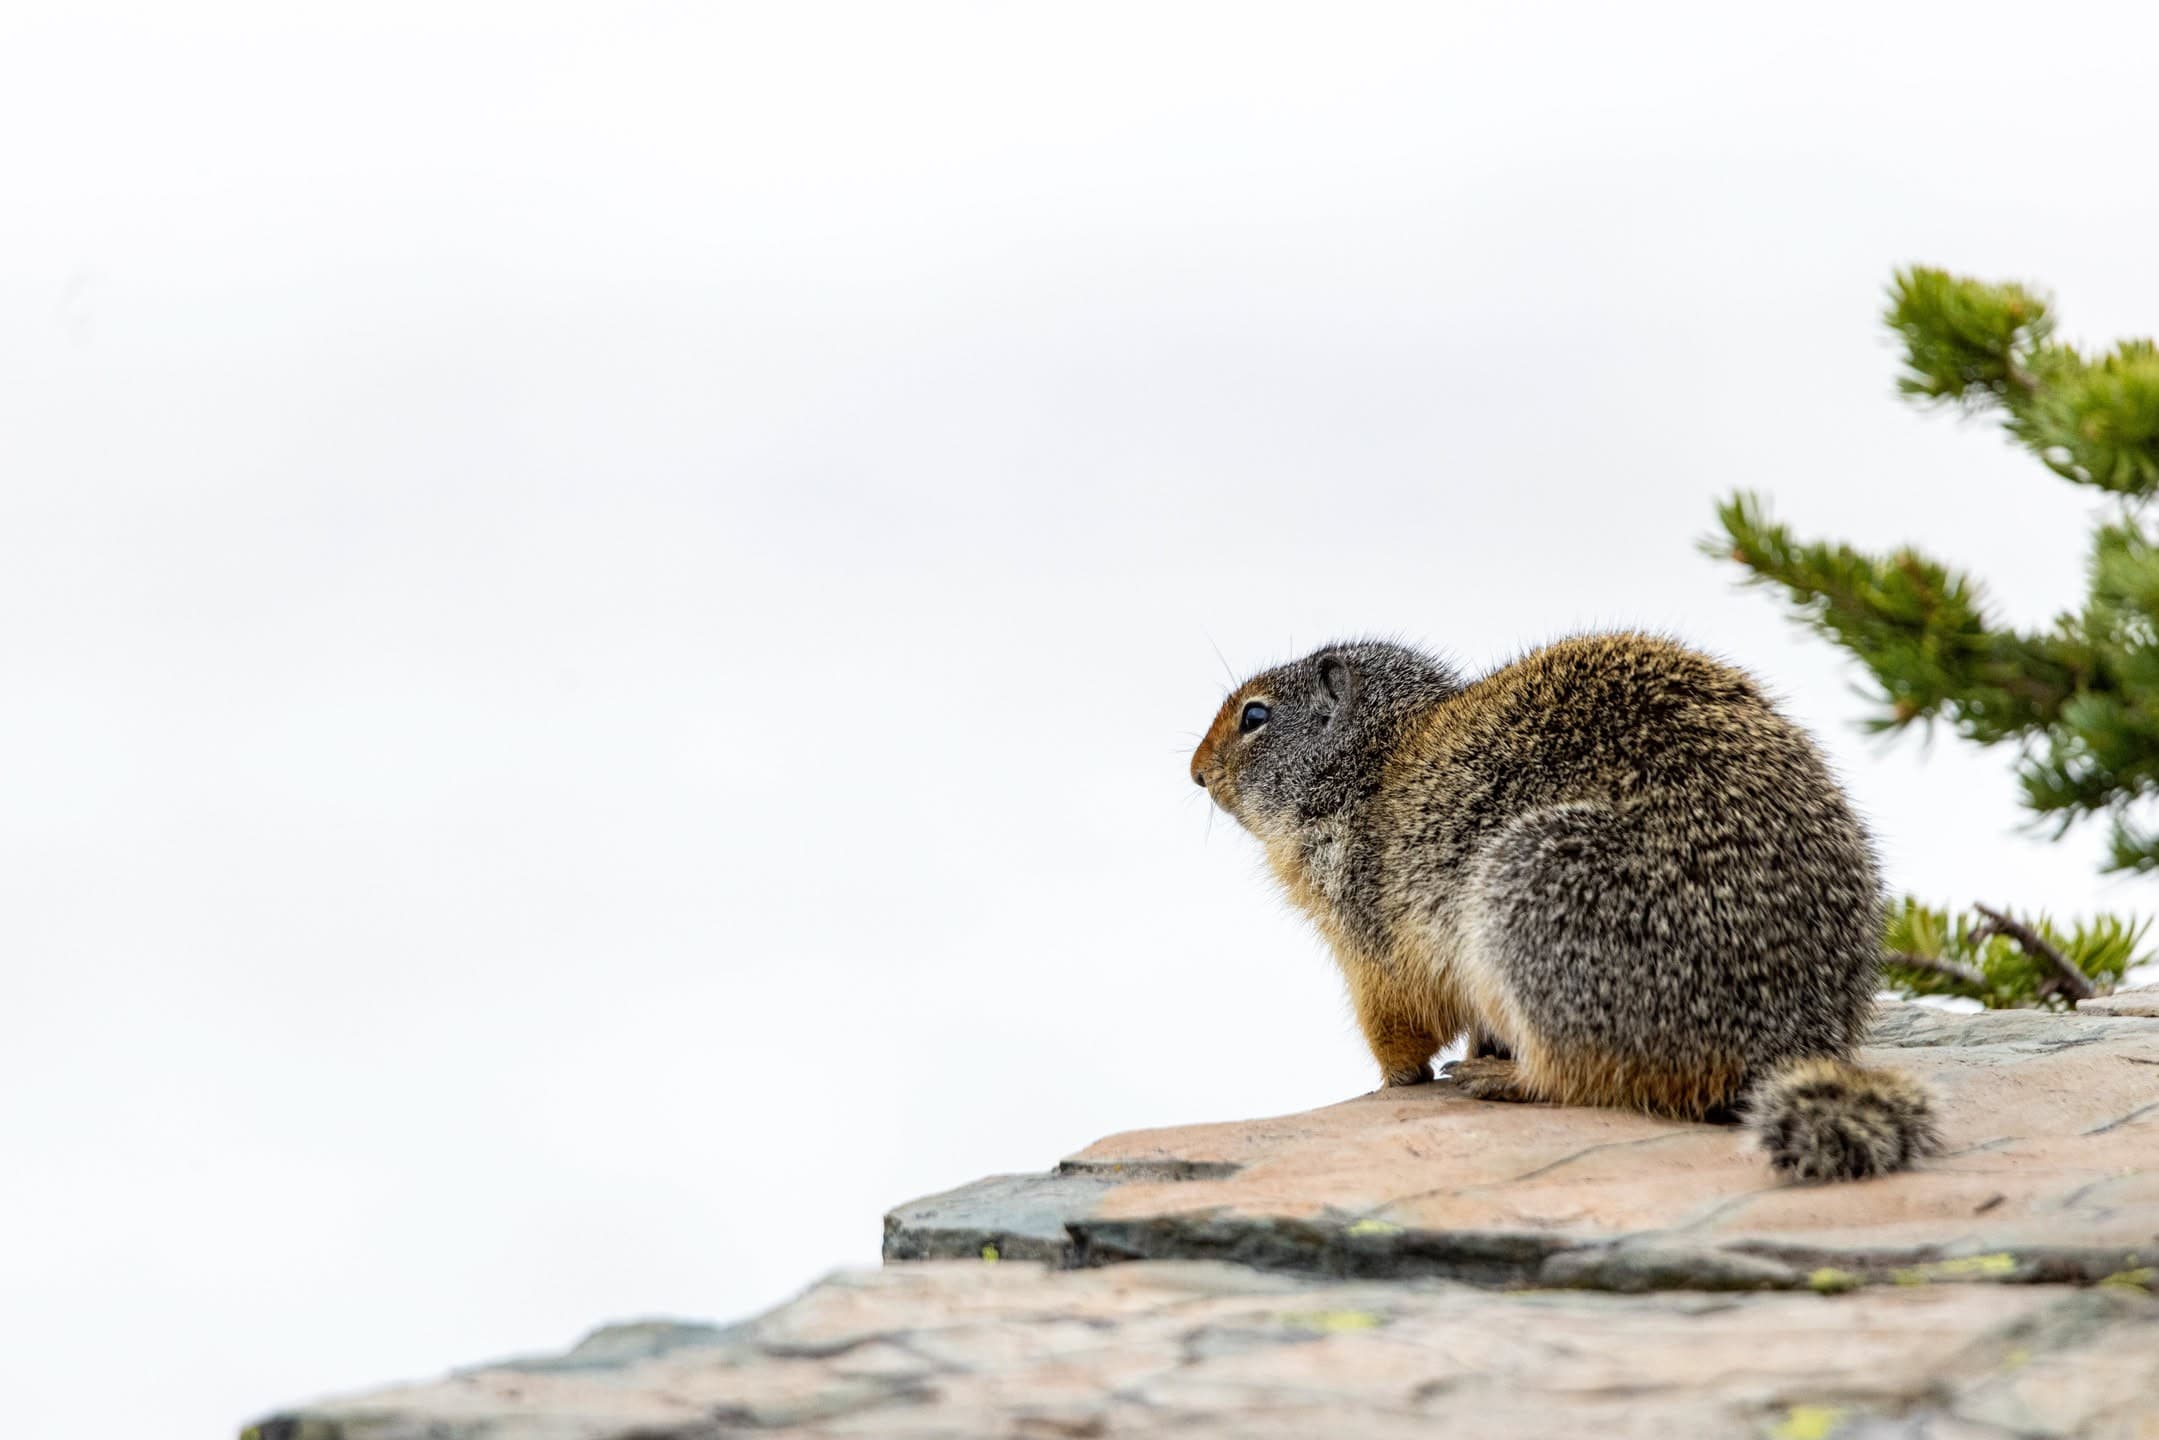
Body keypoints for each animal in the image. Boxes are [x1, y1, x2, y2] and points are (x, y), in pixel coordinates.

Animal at [1189, 632, 1939, 1183]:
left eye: (1254, 716)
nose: (1194, 773)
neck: (1374, 758)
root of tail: (1794, 1038)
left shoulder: (1367, 922)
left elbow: (1396, 1015)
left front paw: (1397, 1077)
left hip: (1537, 885)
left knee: (1582, 1077)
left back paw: (1498, 1078)